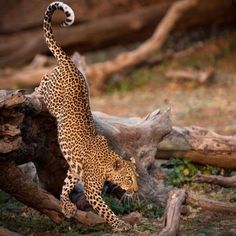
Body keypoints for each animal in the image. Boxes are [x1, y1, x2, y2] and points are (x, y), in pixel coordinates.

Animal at [35, 0, 138, 231]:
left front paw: (66, 205)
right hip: (52, 98)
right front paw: (120, 225)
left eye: (136, 177)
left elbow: (66, 185)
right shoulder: (92, 191)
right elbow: (106, 211)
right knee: (43, 81)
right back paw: (34, 93)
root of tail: (70, 64)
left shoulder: (75, 170)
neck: (107, 162)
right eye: (128, 179)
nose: (136, 190)